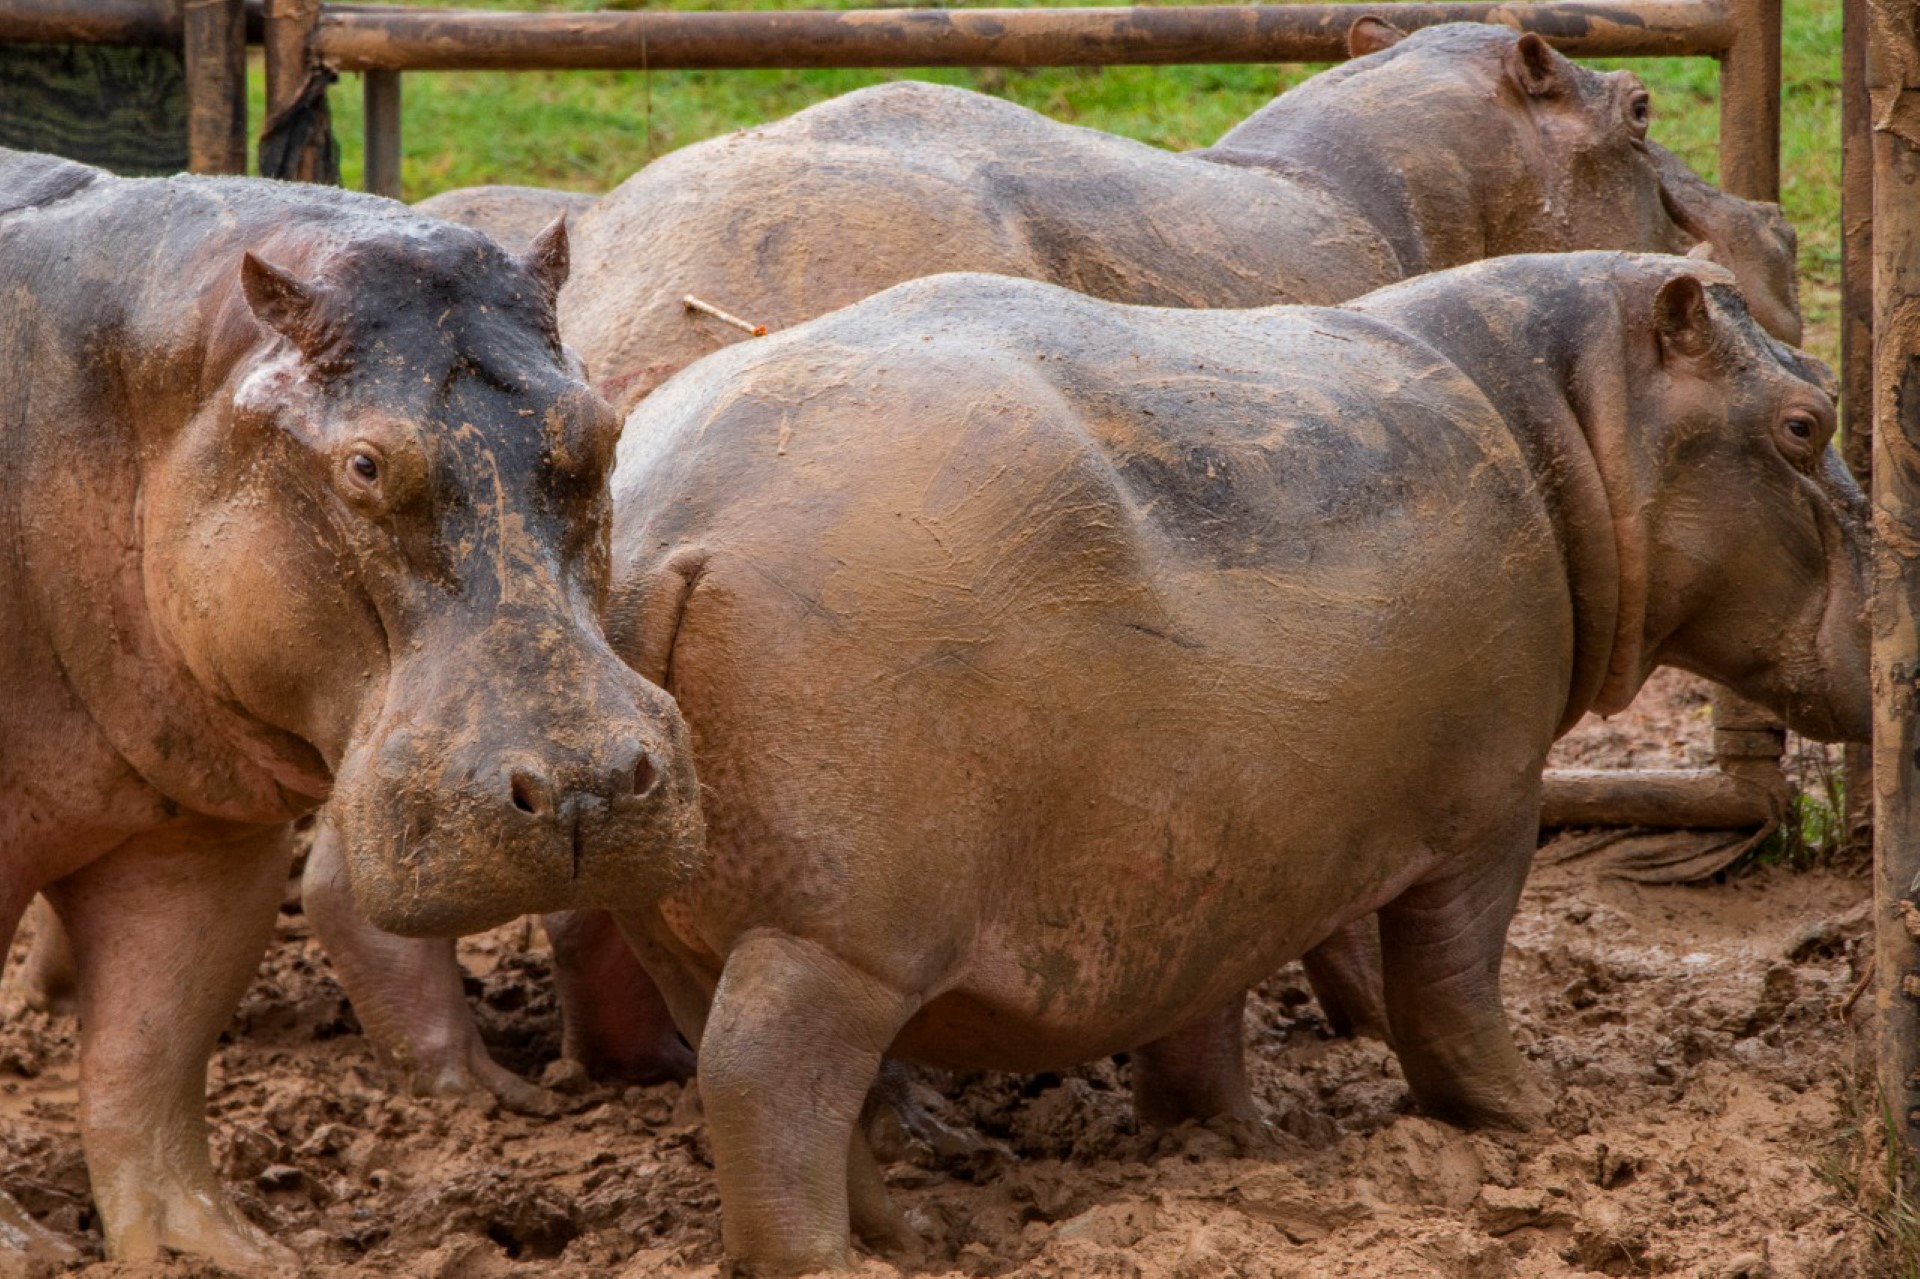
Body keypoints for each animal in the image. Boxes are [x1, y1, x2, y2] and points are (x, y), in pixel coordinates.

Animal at [0, 149, 702, 1267]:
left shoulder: (202, 839)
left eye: (601, 430)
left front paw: (220, 1250)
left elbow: (151, 1053)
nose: (586, 787)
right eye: (364, 464)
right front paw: (27, 1252)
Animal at [595, 253, 1858, 1267]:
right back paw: (824, 1262)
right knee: (769, 1083)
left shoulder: (1208, 839)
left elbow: (1204, 999)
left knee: (759, 1078)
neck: (1571, 416)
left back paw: (913, 1237)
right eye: (1808, 422)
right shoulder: (1490, 806)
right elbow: (1451, 985)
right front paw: (1533, 1120)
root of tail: (671, 533)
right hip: (838, 942)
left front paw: (1226, 1141)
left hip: (697, 928)